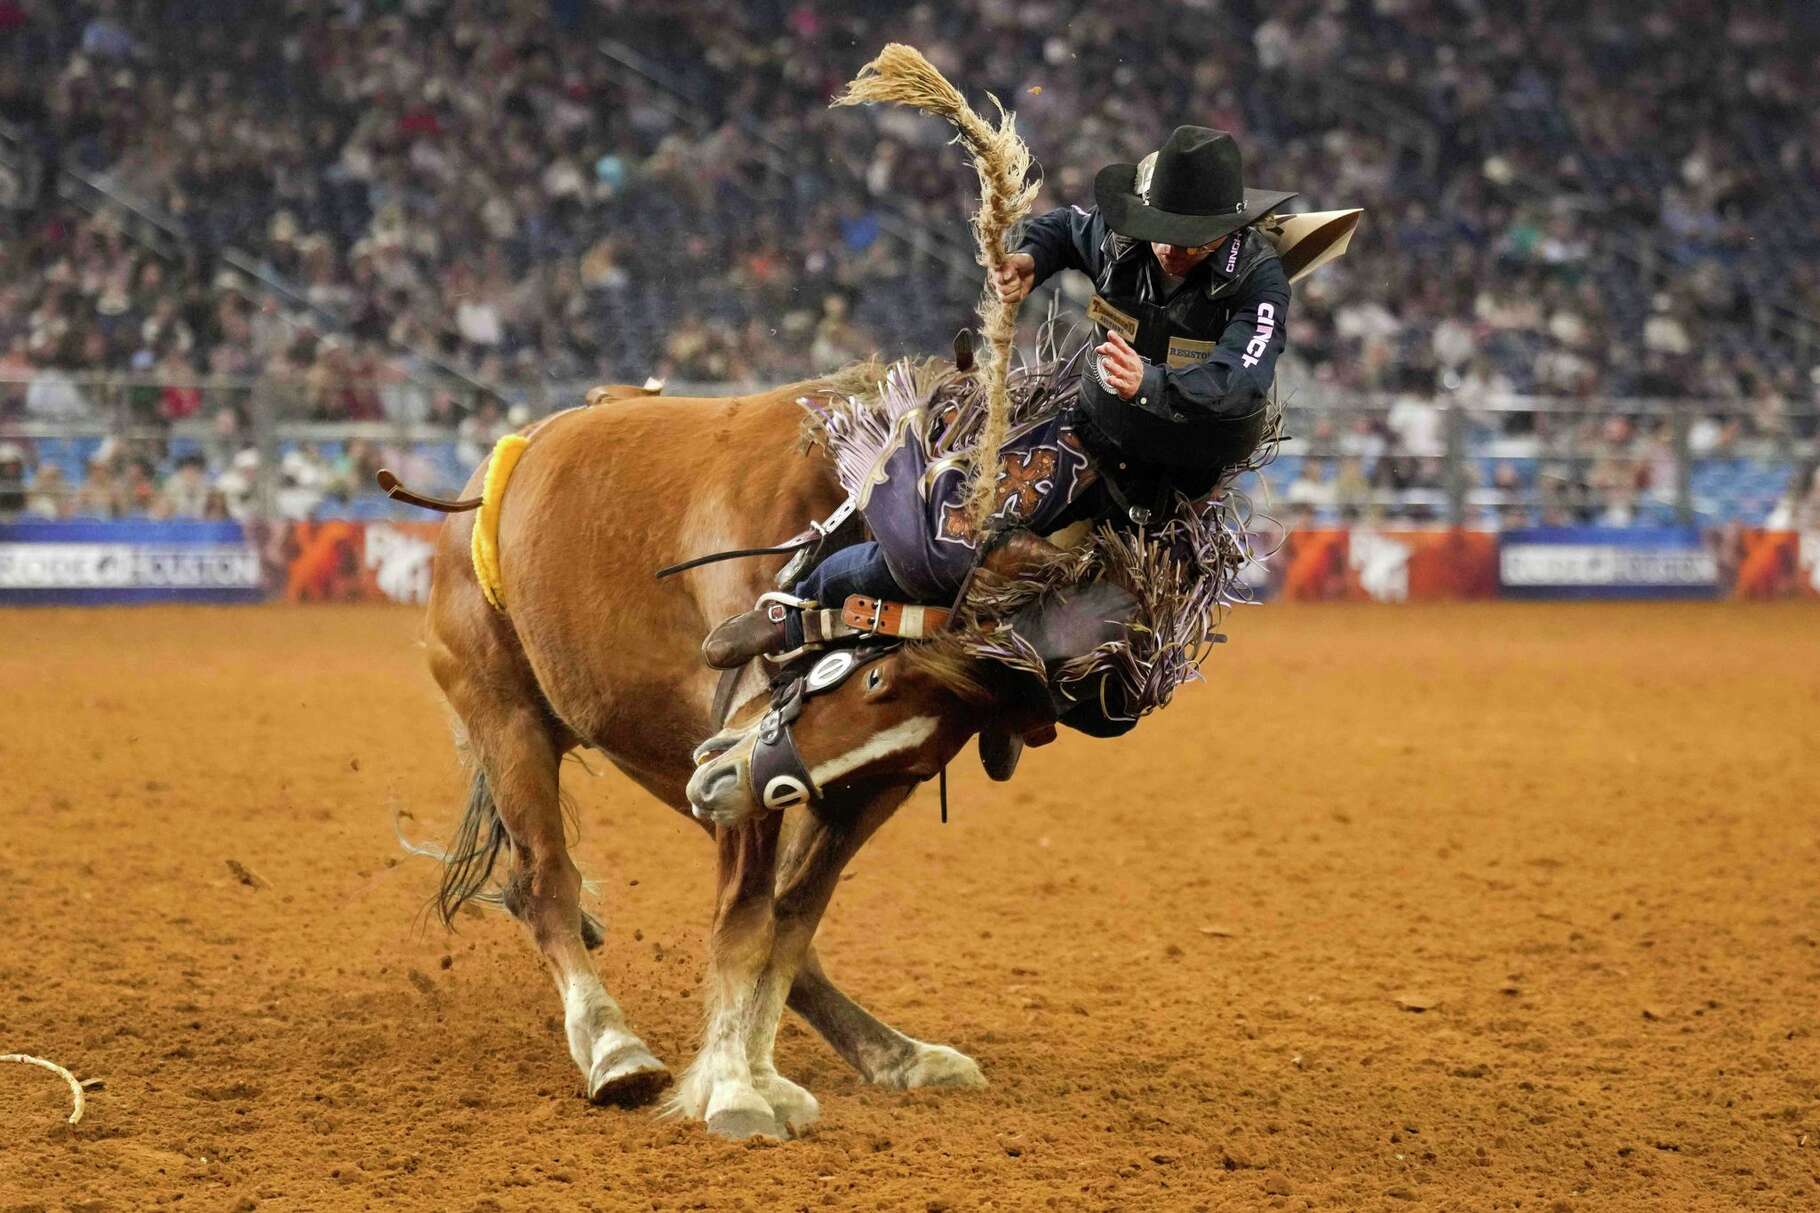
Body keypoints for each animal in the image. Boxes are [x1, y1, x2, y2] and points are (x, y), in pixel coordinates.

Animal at [416, 375, 1027, 1139]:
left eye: (921, 761)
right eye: (876, 680)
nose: (732, 784)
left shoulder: (847, 787)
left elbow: (790, 919)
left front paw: (771, 1072)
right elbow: (744, 923)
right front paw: (737, 1089)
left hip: (666, 760)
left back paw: (894, 1053)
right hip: (508, 717)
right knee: (544, 884)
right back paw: (613, 1046)